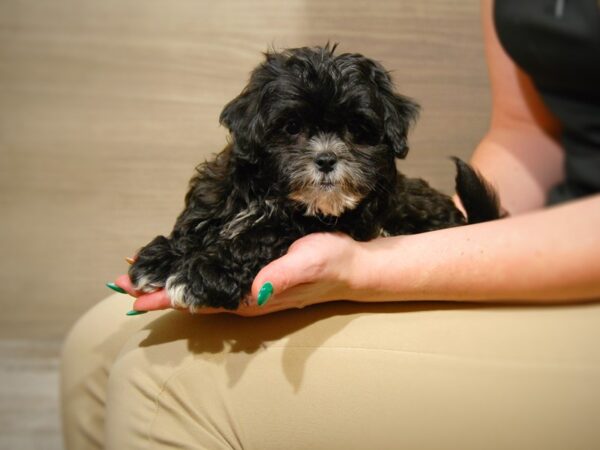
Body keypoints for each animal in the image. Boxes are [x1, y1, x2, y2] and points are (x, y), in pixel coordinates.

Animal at [129, 44, 500, 312]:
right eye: (292, 127)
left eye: (356, 130)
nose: (326, 159)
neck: (272, 192)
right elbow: (204, 218)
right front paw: (163, 257)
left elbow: (261, 236)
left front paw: (203, 275)